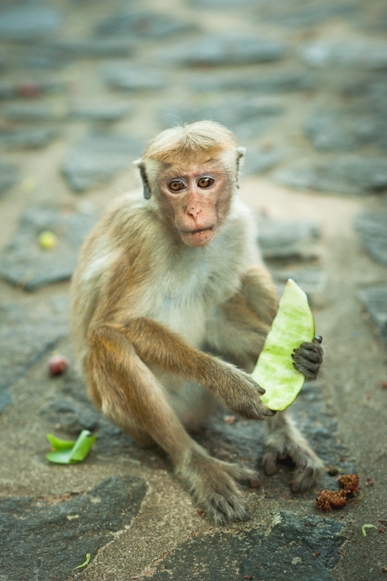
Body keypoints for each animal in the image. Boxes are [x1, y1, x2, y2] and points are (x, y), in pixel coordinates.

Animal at [69, 120, 324, 524]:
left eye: (205, 182)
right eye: (175, 186)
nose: (192, 210)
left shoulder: (237, 226)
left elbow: (218, 314)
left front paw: (302, 356)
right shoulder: (141, 236)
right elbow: (120, 323)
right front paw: (230, 384)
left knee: (250, 277)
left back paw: (283, 435)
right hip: (134, 420)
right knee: (107, 339)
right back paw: (199, 464)